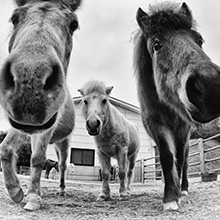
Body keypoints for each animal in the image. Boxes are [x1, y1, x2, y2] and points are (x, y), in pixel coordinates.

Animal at [0, 0, 81, 211]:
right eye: (14, 18)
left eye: (73, 24)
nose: (30, 82)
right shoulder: (20, 125)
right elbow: (5, 148)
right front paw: (16, 190)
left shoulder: (46, 127)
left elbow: (37, 158)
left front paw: (34, 197)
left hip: (64, 143)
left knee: (62, 165)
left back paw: (61, 190)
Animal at [134, 1, 220, 211]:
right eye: (156, 45)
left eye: (199, 40)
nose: (211, 86)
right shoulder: (157, 127)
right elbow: (167, 158)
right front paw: (170, 197)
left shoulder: (182, 130)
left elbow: (180, 160)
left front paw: (178, 192)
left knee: (186, 162)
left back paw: (185, 188)